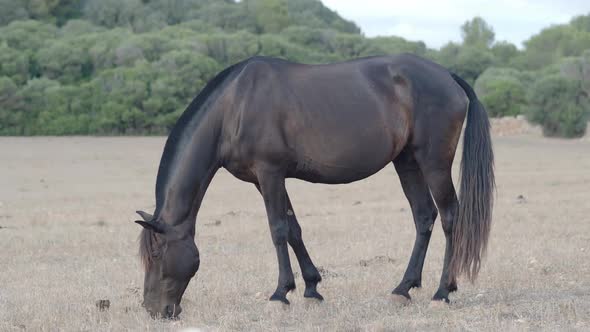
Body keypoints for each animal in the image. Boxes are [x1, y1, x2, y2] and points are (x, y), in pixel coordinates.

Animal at [134, 53, 494, 320]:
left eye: (157, 253)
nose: (154, 310)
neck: (235, 106)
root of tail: (448, 76)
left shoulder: (270, 173)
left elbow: (278, 229)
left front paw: (279, 294)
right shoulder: (265, 180)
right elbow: (294, 229)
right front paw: (311, 288)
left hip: (433, 162)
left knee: (450, 217)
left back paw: (442, 292)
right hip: (406, 161)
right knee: (424, 216)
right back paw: (403, 288)